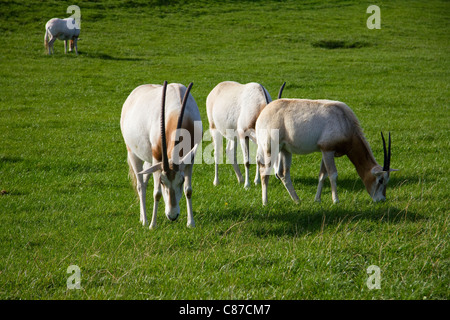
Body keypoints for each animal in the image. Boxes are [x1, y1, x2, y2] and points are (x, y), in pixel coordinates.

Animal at [121, 81, 202, 229]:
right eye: (162, 182)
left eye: (181, 181)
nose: (172, 216)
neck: (177, 111)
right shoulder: (157, 158)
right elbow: (157, 193)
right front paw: (153, 225)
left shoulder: (190, 159)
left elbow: (188, 190)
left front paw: (191, 223)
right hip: (134, 154)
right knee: (140, 185)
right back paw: (145, 220)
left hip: (149, 160)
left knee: (145, 181)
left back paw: (142, 217)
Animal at [255, 97, 396, 206]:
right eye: (380, 180)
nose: (382, 199)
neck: (345, 121)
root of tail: (263, 113)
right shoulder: (328, 150)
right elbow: (333, 174)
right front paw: (336, 200)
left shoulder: (326, 151)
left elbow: (323, 175)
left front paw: (317, 199)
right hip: (271, 148)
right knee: (264, 172)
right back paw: (265, 202)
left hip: (285, 150)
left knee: (284, 173)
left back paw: (297, 200)